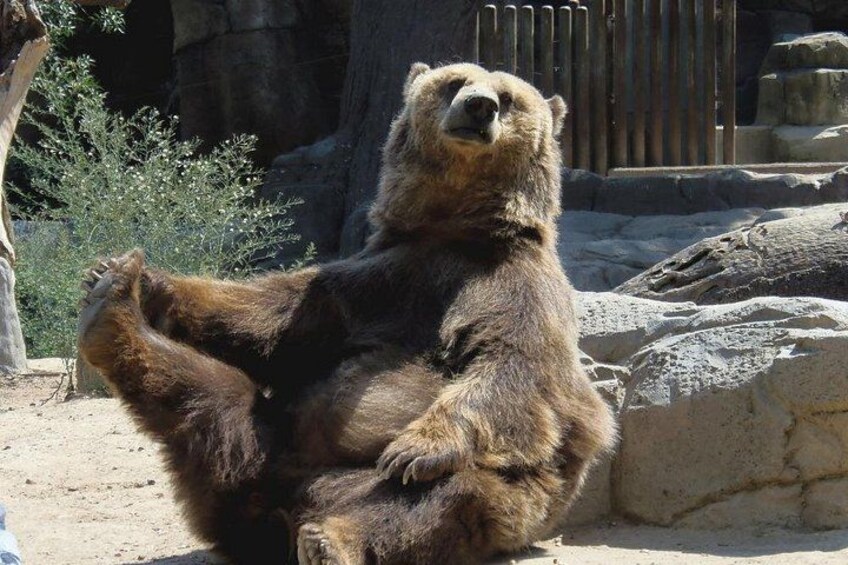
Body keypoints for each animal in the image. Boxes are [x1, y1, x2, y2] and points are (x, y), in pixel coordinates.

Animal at [77, 62, 617, 564]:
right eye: (455, 82)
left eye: (508, 96)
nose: (479, 107)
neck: (456, 230)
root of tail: (286, 505)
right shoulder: (379, 280)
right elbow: (273, 318)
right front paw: (135, 276)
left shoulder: (513, 288)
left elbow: (513, 366)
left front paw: (418, 445)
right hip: (267, 446)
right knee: (211, 398)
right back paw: (111, 306)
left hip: (488, 497)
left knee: (434, 500)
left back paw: (331, 538)